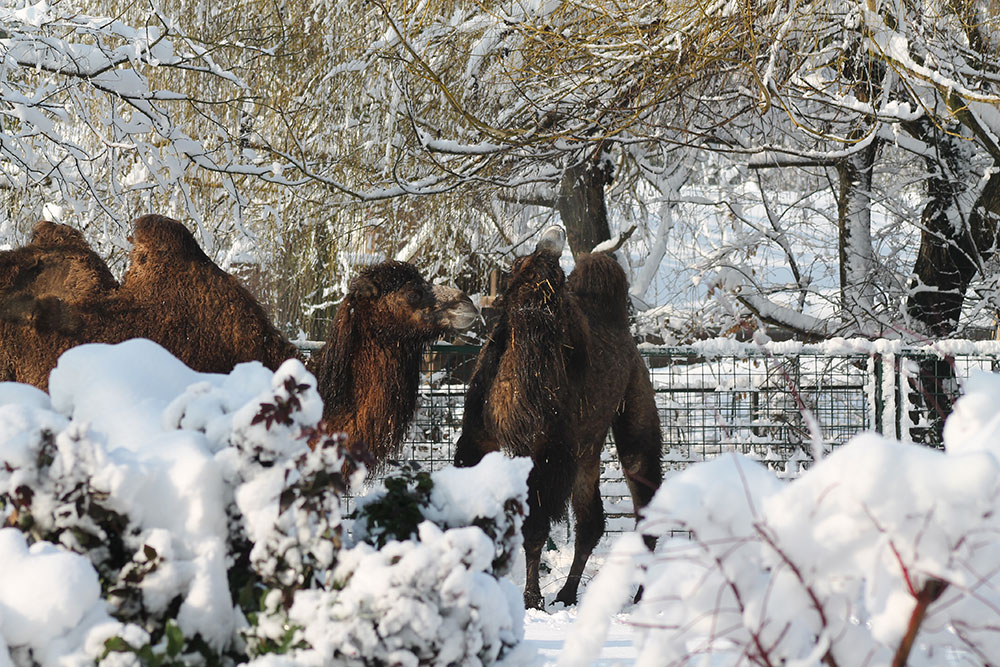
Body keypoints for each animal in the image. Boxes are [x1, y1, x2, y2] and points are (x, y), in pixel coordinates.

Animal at [456, 231, 664, 612]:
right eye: (514, 273)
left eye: (558, 284)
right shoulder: (478, 442)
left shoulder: (548, 454)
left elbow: (535, 529)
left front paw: (531, 599)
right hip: (586, 451)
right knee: (591, 521)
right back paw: (568, 594)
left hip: (633, 407)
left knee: (642, 494)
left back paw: (639, 597)